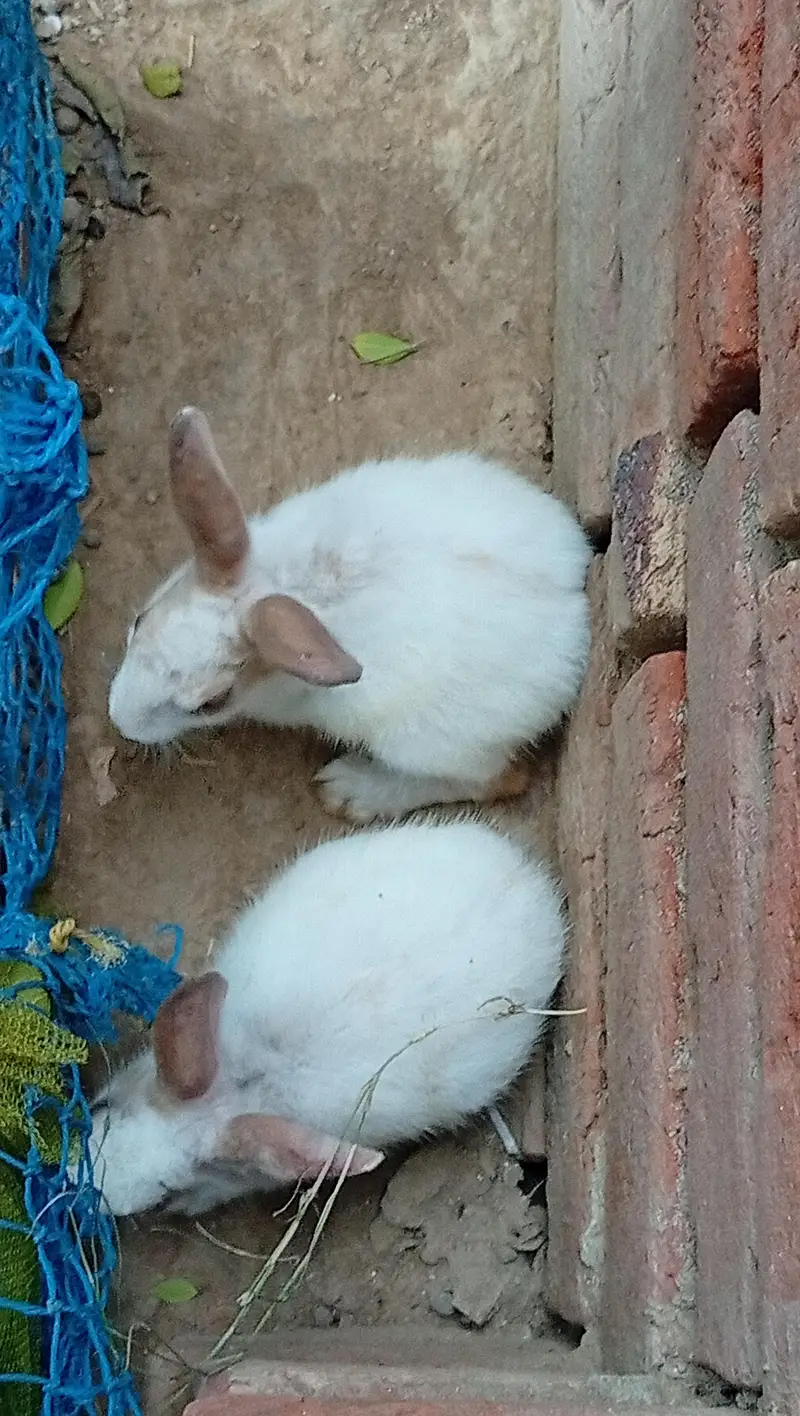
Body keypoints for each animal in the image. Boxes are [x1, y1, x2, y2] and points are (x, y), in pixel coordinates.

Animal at [107, 408, 592, 822]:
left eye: (212, 703)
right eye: (139, 621)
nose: (121, 722)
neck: (283, 585)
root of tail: (575, 615)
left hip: (431, 746)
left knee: (498, 779)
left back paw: (351, 791)